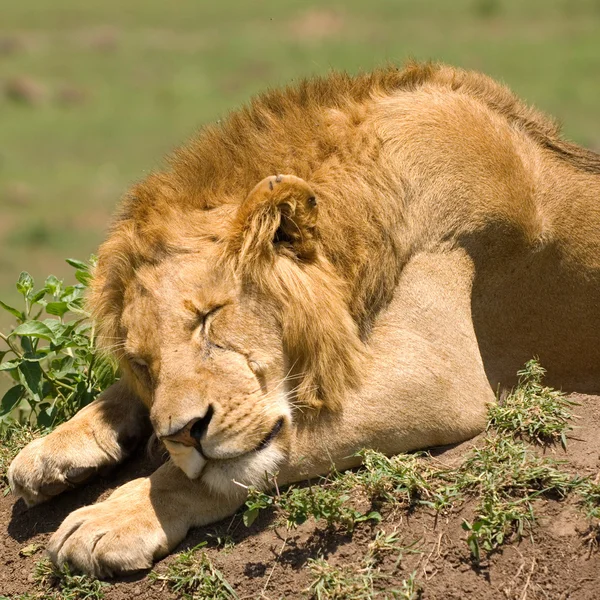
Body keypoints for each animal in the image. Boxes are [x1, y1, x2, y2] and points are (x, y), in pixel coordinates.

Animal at [8, 61, 600, 576]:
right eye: (142, 363)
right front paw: (52, 450)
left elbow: (236, 464)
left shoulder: (438, 375)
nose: (183, 434)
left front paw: (113, 517)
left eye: (209, 317)